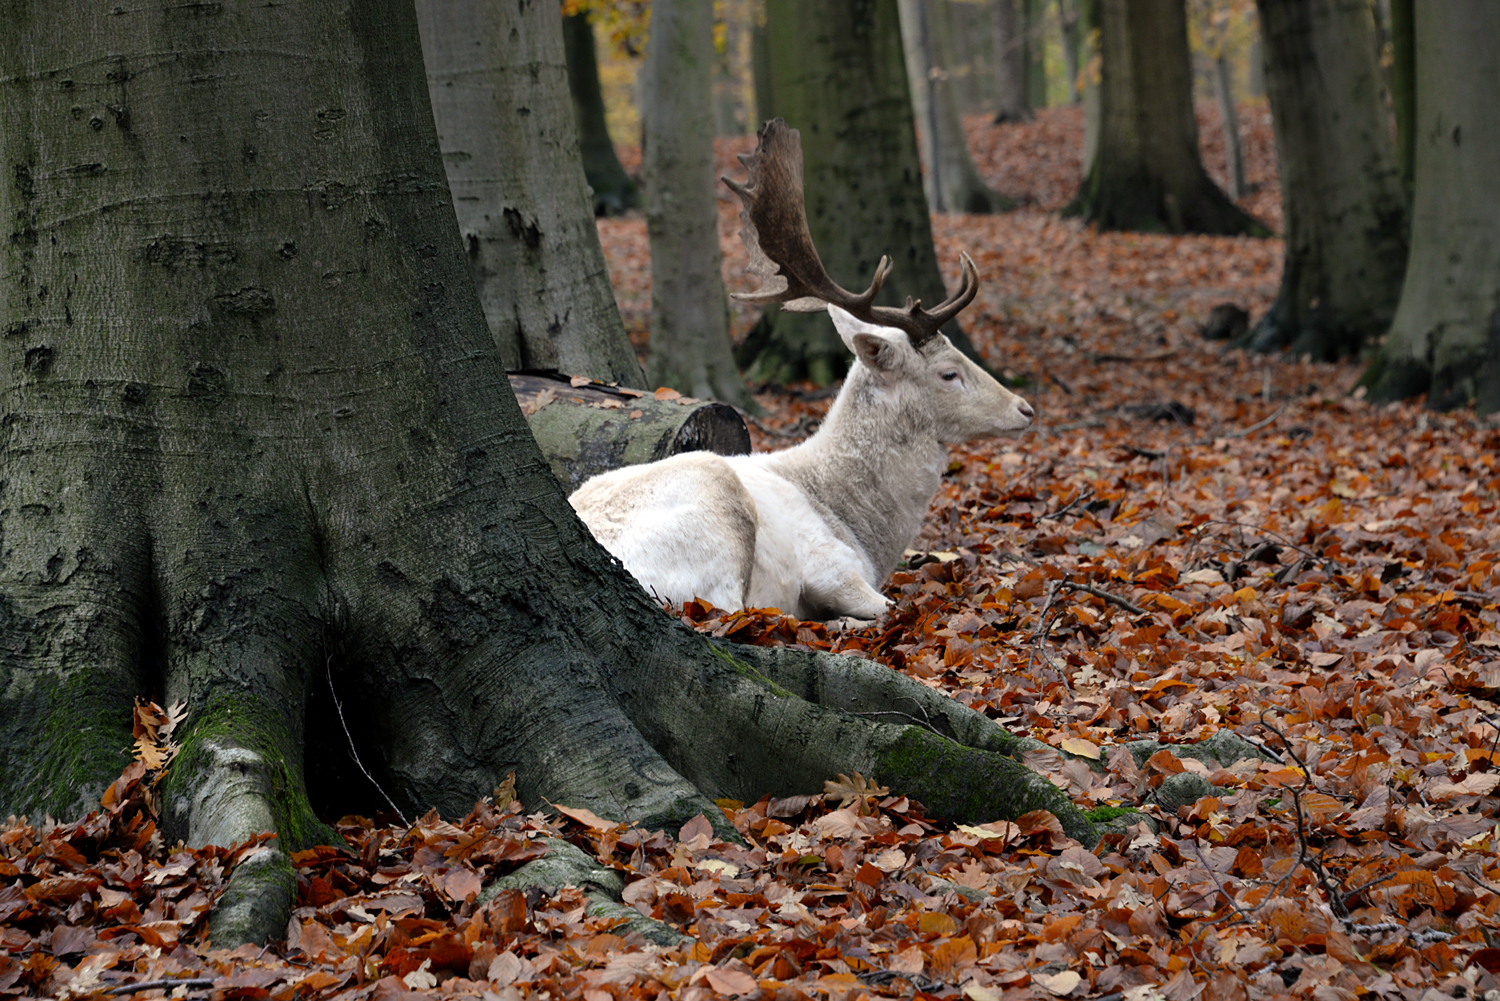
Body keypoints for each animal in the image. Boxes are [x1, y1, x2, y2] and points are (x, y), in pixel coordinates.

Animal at [564, 121, 1032, 621]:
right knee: (730, 610)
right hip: (712, 502)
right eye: (948, 373)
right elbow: (886, 607)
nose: (1025, 409)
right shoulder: (828, 565)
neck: (861, 530)